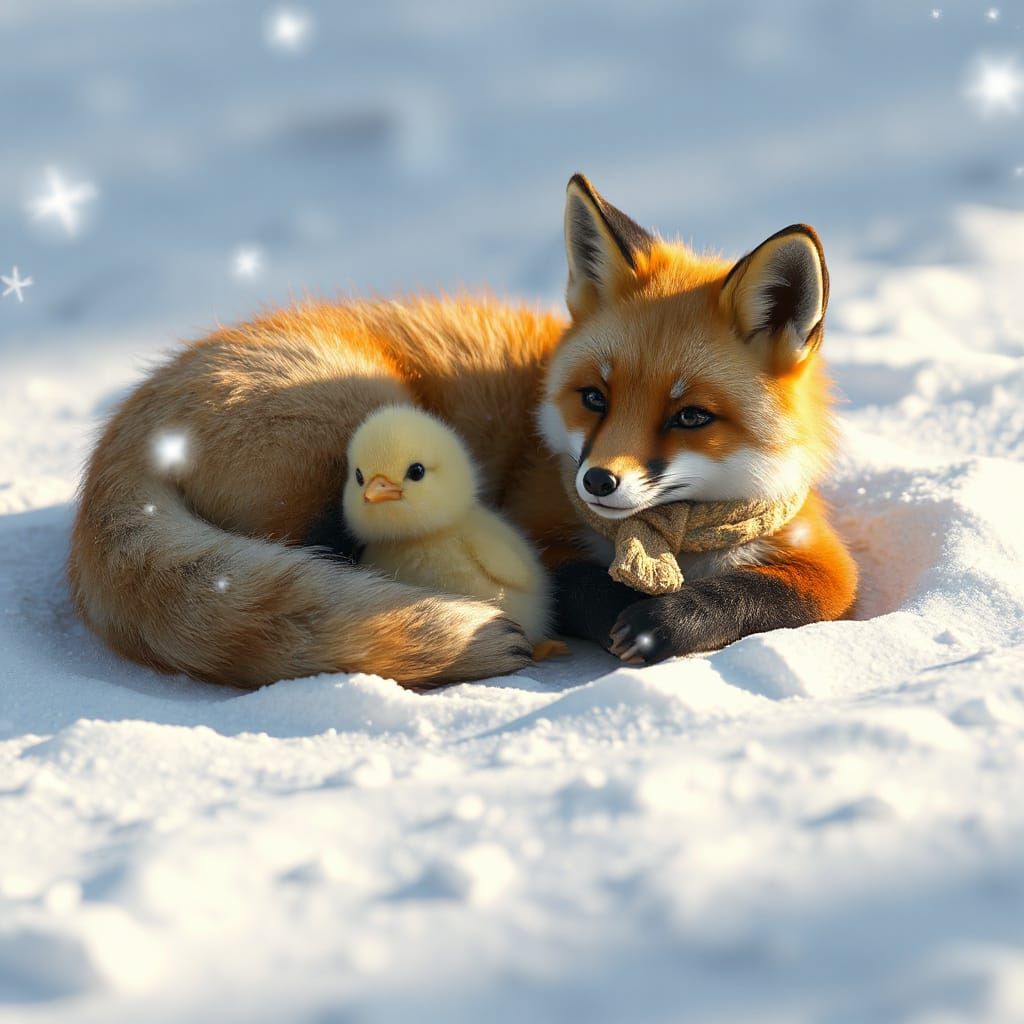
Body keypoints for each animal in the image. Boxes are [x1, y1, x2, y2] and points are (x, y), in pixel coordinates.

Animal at [69, 173, 857, 688]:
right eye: (595, 398)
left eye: (690, 415)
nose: (597, 481)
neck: (677, 537)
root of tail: (126, 425)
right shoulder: (534, 524)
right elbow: (574, 582)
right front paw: (632, 614)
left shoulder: (822, 558)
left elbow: (769, 596)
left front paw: (669, 619)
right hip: (360, 426)